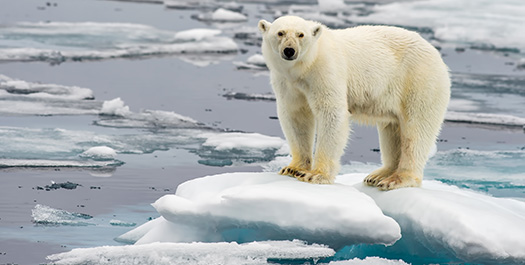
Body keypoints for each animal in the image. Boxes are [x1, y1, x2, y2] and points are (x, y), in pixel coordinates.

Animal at [258, 16, 450, 190]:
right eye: (280, 33)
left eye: (301, 34)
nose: (289, 50)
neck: (305, 67)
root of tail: (436, 54)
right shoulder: (287, 83)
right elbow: (296, 116)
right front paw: (293, 168)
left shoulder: (325, 71)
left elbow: (332, 113)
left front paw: (316, 175)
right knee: (392, 129)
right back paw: (378, 175)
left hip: (419, 81)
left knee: (416, 130)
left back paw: (397, 179)